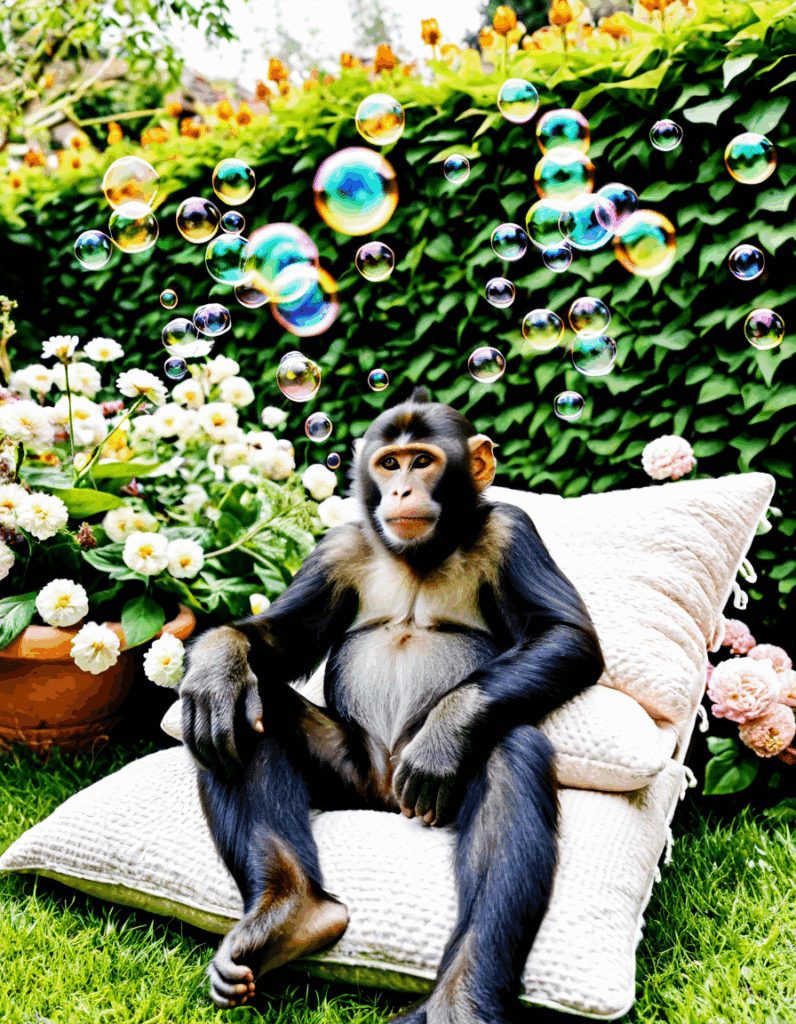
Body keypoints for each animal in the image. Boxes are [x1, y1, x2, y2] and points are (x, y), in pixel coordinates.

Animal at [180, 386, 604, 1021]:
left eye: (423, 461)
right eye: (389, 463)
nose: (402, 488)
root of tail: (382, 794)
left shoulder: (514, 531)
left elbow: (568, 636)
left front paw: (446, 730)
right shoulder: (336, 548)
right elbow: (279, 640)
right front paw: (216, 664)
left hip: (412, 793)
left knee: (511, 751)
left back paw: (460, 1001)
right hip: (350, 776)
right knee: (241, 716)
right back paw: (289, 915)